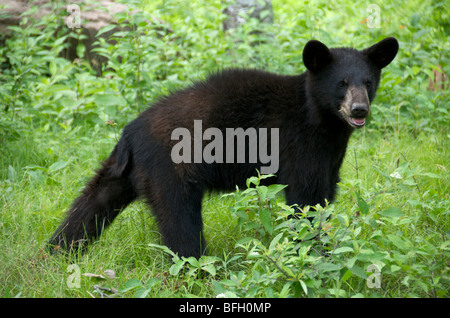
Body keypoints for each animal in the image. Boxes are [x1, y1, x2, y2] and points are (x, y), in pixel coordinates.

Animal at [48, 36, 398, 258]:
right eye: (341, 83)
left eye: (368, 82)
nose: (359, 110)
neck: (322, 120)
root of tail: (130, 133)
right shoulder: (298, 144)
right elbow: (305, 198)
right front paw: (315, 253)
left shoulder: (330, 153)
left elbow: (325, 192)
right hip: (171, 170)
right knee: (179, 222)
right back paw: (198, 267)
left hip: (122, 172)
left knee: (92, 203)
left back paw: (56, 251)